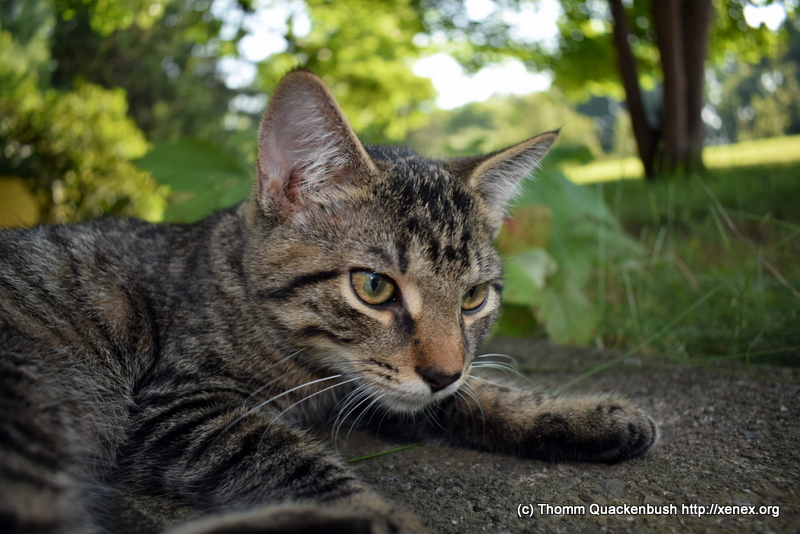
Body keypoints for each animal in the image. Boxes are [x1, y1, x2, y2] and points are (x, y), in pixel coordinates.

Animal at [0, 72, 656, 534]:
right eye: (374, 287)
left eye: (472, 298)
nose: (443, 372)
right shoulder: (176, 404)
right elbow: (287, 456)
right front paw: (381, 514)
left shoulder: (378, 388)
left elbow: (476, 395)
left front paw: (582, 415)